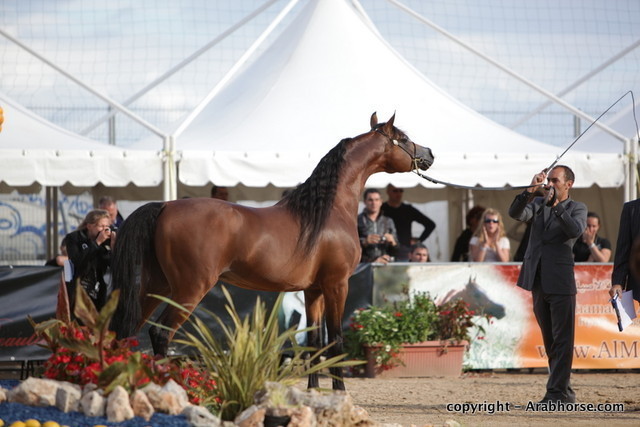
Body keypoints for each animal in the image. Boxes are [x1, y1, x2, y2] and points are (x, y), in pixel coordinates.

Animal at [110, 112, 434, 390]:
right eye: (404, 137)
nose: (429, 154)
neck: (327, 212)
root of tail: (164, 206)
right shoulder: (336, 285)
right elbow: (336, 341)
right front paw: (340, 393)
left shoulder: (313, 290)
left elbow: (313, 342)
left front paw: (314, 391)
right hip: (189, 289)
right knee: (160, 333)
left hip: (155, 287)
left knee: (126, 331)